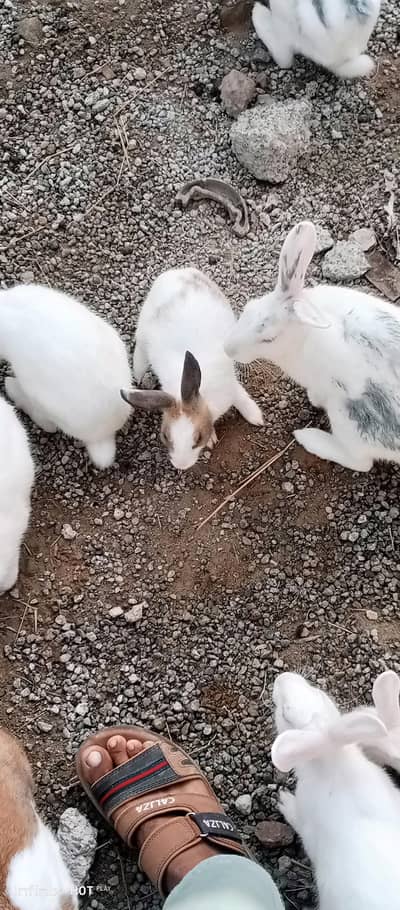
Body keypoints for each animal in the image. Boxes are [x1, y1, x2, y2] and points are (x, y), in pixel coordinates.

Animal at [121, 267, 264, 471]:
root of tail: (178, 272)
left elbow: (241, 396)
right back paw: (138, 374)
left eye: (198, 438)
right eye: (165, 436)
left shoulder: (230, 384)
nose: (181, 466)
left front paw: (256, 417)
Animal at [225, 220, 400, 473]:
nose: (227, 349)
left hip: (348, 419)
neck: (304, 334)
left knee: (361, 462)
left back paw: (307, 437)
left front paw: (313, 399)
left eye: (269, 339)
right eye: (248, 307)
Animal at [271, 671, 400, 910]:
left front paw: (284, 800)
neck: (334, 763)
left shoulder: (309, 827)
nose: (282, 677)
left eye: (284, 713)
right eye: (319, 692)